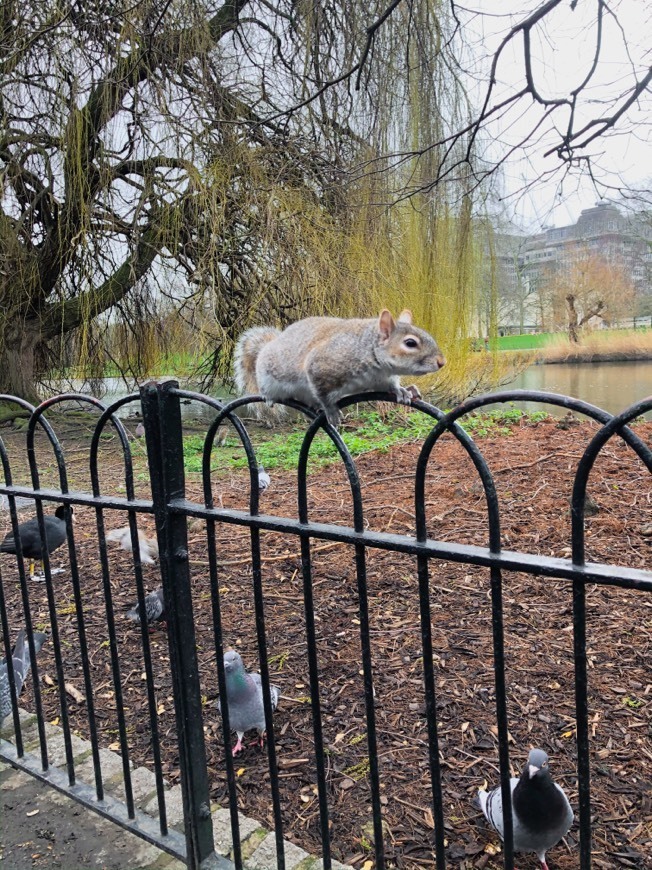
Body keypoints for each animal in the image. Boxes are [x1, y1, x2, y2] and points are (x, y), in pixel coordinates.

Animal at [232, 308, 446, 428]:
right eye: (410, 343)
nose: (441, 362)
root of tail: (269, 346)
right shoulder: (321, 365)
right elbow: (322, 391)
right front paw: (331, 410)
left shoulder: (380, 377)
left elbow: (389, 386)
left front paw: (402, 390)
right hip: (268, 375)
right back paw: (270, 397)